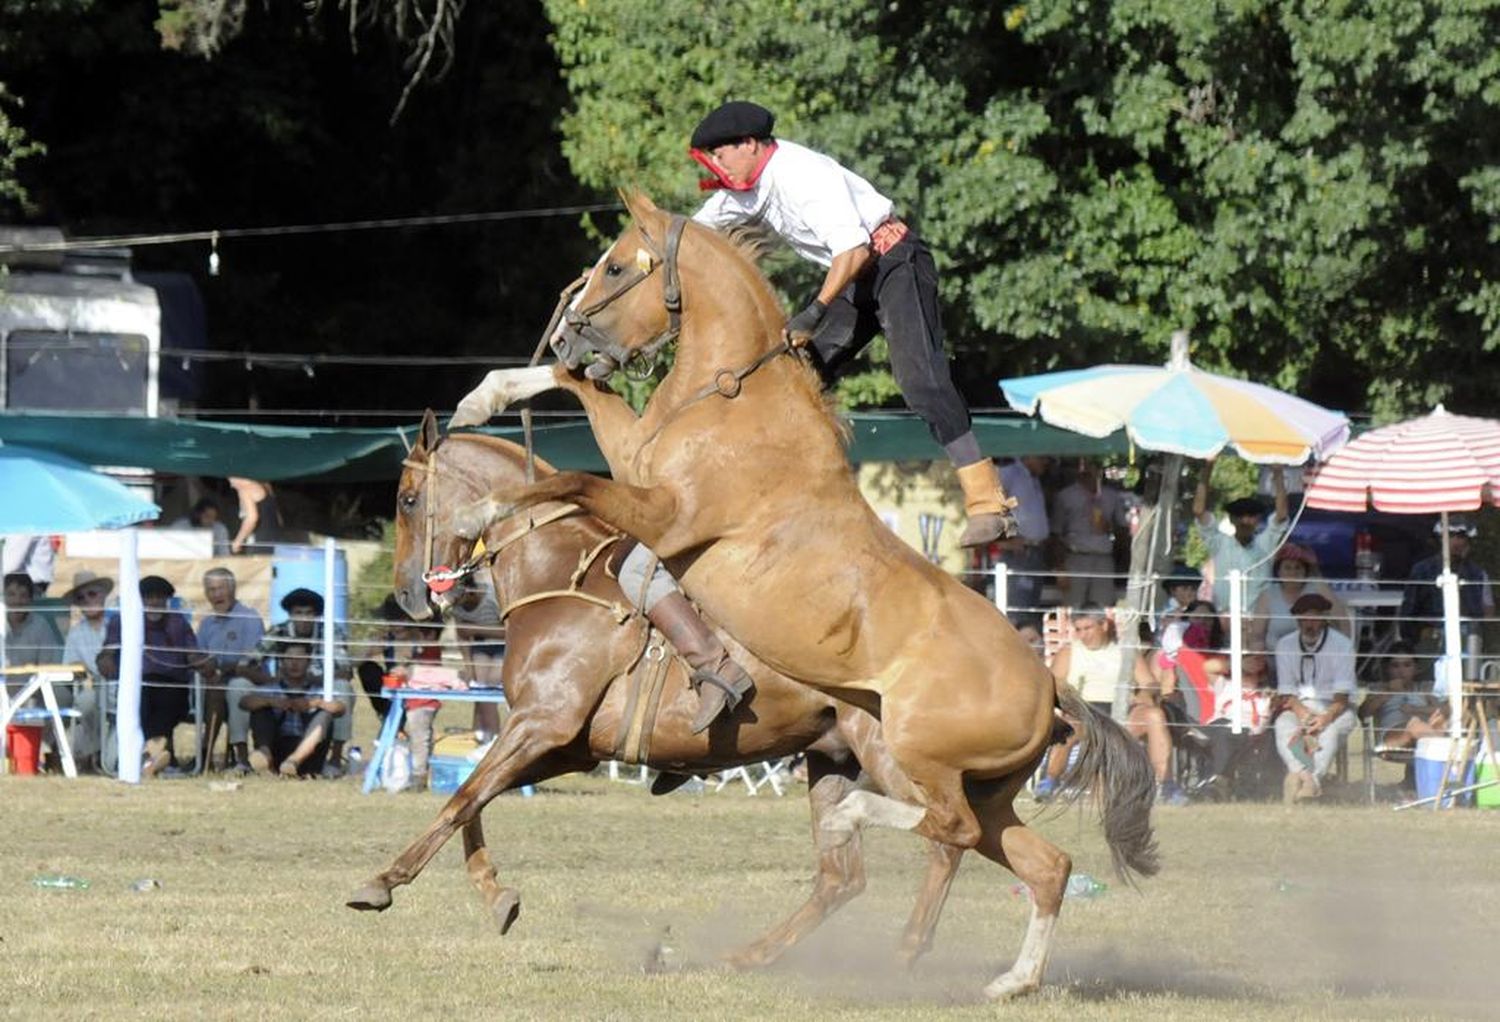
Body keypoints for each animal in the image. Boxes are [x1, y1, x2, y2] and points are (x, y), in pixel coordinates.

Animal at [343, 411, 966, 966]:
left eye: (408, 500)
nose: (408, 596)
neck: (555, 573)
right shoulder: (563, 747)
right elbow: (474, 800)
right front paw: (498, 895)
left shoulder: (541, 724)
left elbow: (461, 798)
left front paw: (382, 882)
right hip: (831, 760)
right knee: (843, 876)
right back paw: (749, 956)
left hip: (892, 760)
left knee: (947, 839)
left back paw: (912, 953)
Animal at [447, 191, 1158, 996]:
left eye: (620, 267)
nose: (567, 334)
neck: (733, 398)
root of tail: (1047, 685)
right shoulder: (636, 462)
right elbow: (580, 393)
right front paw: (483, 397)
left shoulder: (661, 511)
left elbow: (569, 476)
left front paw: (477, 511)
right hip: (980, 785)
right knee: (1043, 864)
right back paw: (1009, 981)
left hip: (920, 758)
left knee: (948, 830)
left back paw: (861, 841)